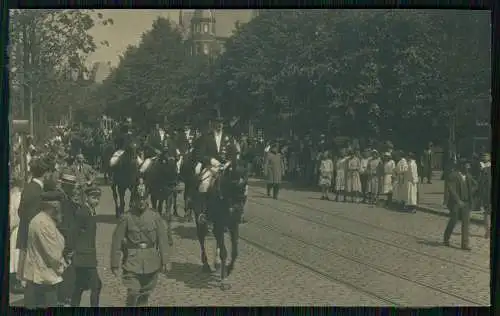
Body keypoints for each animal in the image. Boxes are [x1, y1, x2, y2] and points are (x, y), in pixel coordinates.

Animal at [191, 142, 246, 290]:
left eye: (245, 184)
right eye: (234, 182)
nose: (237, 209)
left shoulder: (233, 225)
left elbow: (235, 251)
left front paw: (229, 269)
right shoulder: (220, 225)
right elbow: (224, 252)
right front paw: (224, 280)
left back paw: (216, 264)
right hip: (200, 221)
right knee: (201, 238)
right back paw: (206, 265)